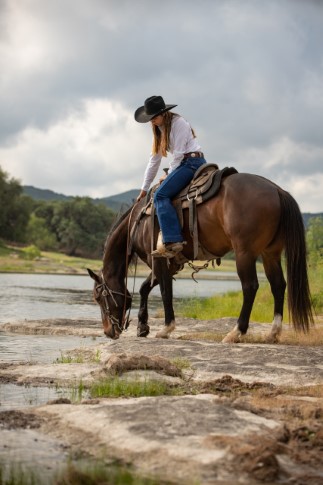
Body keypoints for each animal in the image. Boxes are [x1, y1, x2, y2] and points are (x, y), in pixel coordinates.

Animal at [88, 170, 314, 340]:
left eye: (98, 297)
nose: (108, 332)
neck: (138, 222)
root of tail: (277, 190)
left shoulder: (159, 260)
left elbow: (165, 292)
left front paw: (166, 328)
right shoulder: (170, 263)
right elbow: (145, 288)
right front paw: (143, 327)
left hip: (245, 252)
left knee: (250, 287)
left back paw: (236, 332)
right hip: (270, 253)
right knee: (278, 285)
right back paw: (273, 333)